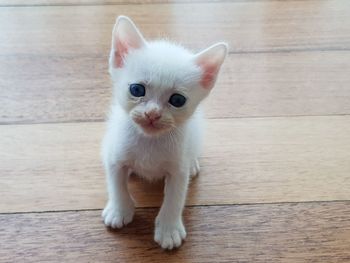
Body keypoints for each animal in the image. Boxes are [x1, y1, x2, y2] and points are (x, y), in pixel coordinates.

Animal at [102, 15, 227, 251]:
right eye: (136, 90)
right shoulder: (114, 156)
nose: (152, 113)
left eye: (177, 100)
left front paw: (169, 229)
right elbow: (116, 185)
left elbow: (174, 199)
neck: (150, 141)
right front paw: (119, 210)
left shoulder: (178, 170)